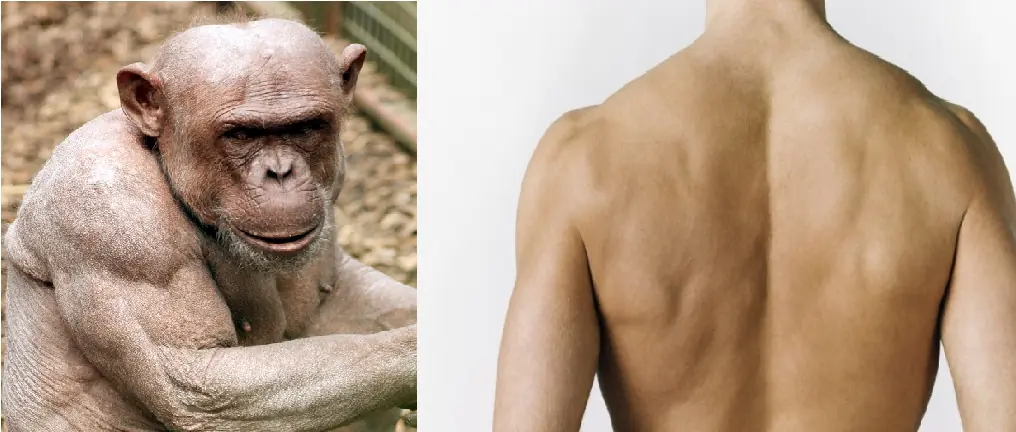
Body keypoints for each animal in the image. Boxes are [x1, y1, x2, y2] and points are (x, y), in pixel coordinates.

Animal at [1, 18, 417, 432]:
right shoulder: (113, 221)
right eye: (241, 134)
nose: (280, 172)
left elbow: (339, 294)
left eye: (306, 128)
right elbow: (199, 381)